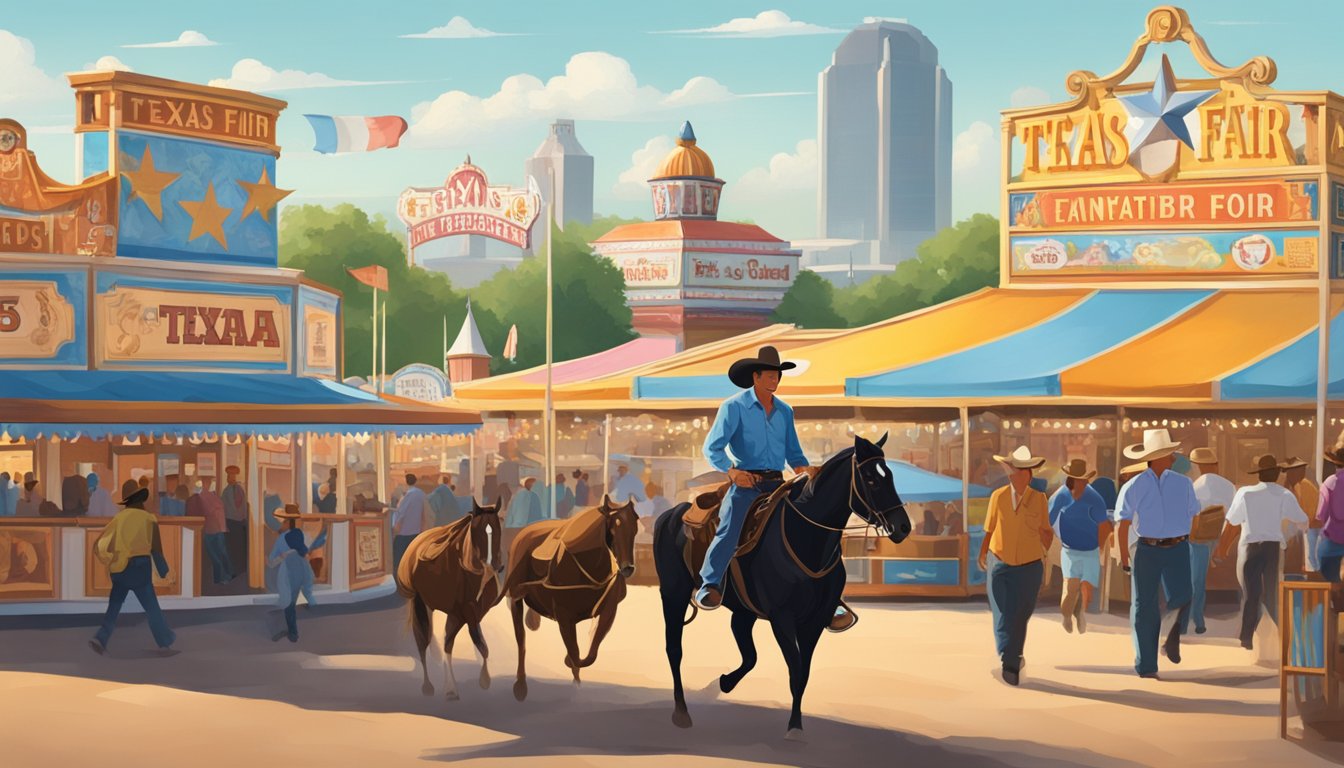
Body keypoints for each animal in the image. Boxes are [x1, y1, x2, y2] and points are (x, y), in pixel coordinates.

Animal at [397, 497, 508, 704]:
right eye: (477, 531)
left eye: (499, 528)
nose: (493, 566)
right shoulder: (463, 612)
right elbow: (467, 643)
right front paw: (478, 681)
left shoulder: (470, 613)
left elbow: (476, 642)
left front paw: (482, 677)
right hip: (421, 605)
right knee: (422, 642)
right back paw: (428, 686)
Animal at [505, 497, 639, 704]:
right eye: (613, 527)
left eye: (635, 526)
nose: (627, 568)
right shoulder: (564, 615)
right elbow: (575, 653)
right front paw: (570, 662)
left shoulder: (608, 612)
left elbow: (589, 654)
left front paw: (574, 672)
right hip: (515, 600)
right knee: (521, 640)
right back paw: (520, 685)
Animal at [650, 433, 913, 737]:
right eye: (870, 479)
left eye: (889, 475)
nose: (903, 527)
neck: (806, 539)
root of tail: (670, 514)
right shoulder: (782, 618)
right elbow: (795, 669)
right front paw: (794, 728)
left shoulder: (815, 620)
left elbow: (804, 673)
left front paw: (795, 722)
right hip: (674, 594)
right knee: (674, 649)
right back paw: (681, 713)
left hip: (743, 611)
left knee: (747, 653)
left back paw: (726, 683)